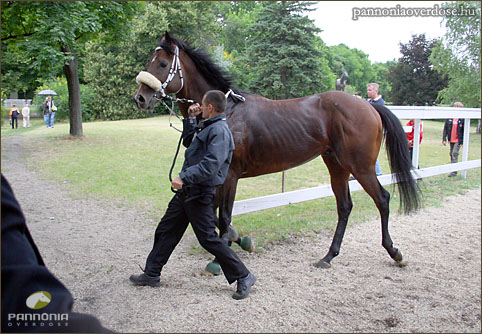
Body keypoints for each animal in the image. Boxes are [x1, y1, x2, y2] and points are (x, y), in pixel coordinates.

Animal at [134, 33, 420, 268]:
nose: (140, 98)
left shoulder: (230, 176)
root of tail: (370, 106)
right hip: (336, 166)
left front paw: (222, 257)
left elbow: (224, 216)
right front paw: (239, 240)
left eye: (162, 64)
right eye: (150, 61)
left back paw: (394, 252)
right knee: (344, 206)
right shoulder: (217, 177)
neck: (226, 113)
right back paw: (328, 256)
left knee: (382, 199)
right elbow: (216, 216)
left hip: (360, 167)